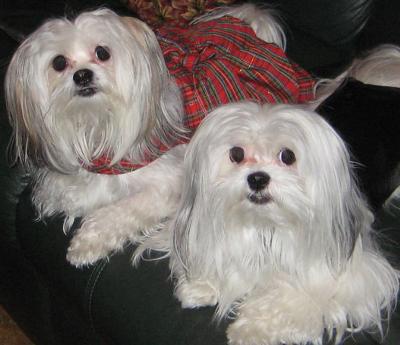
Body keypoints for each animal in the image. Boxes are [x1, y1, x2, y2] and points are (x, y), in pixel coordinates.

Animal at [144, 102, 396, 344]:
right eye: (237, 154)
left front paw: (252, 328)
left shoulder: (351, 274)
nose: (257, 178)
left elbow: (291, 294)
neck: (266, 225)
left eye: (288, 156)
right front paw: (204, 284)